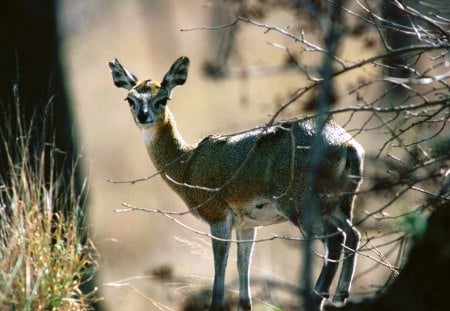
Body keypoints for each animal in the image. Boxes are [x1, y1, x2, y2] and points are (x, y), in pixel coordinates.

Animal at [110, 57, 366, 310]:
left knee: (336, 239)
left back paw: (320, 296)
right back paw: (340, 294)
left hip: (301, 208)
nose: (143, 116)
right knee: (353, 234)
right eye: (130, 99)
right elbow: (244, 276)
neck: (187, 164)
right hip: (339, 205)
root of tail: (346, 145)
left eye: (163, 98)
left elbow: (220, 276)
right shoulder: (247, 225)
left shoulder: (218, 218)